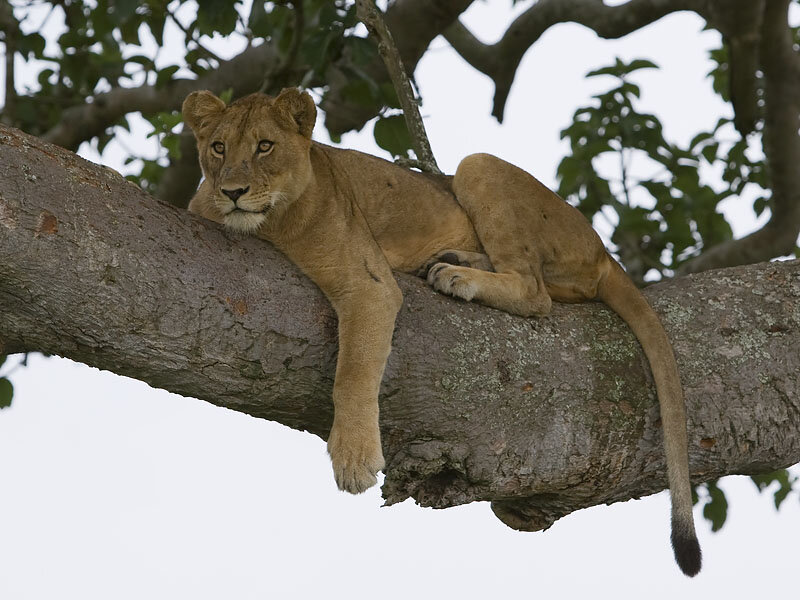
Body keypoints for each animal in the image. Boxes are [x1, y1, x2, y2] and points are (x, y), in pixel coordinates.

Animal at [182, 87, 701, 577]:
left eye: (265, 146)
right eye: (218, 147)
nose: (232, 191)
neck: (266, 226)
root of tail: (602, 250)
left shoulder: (369, 283)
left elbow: (354, 371)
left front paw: (353, 456)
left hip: (479, 166)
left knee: (536, 293)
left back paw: (457, 275)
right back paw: (456, 260)